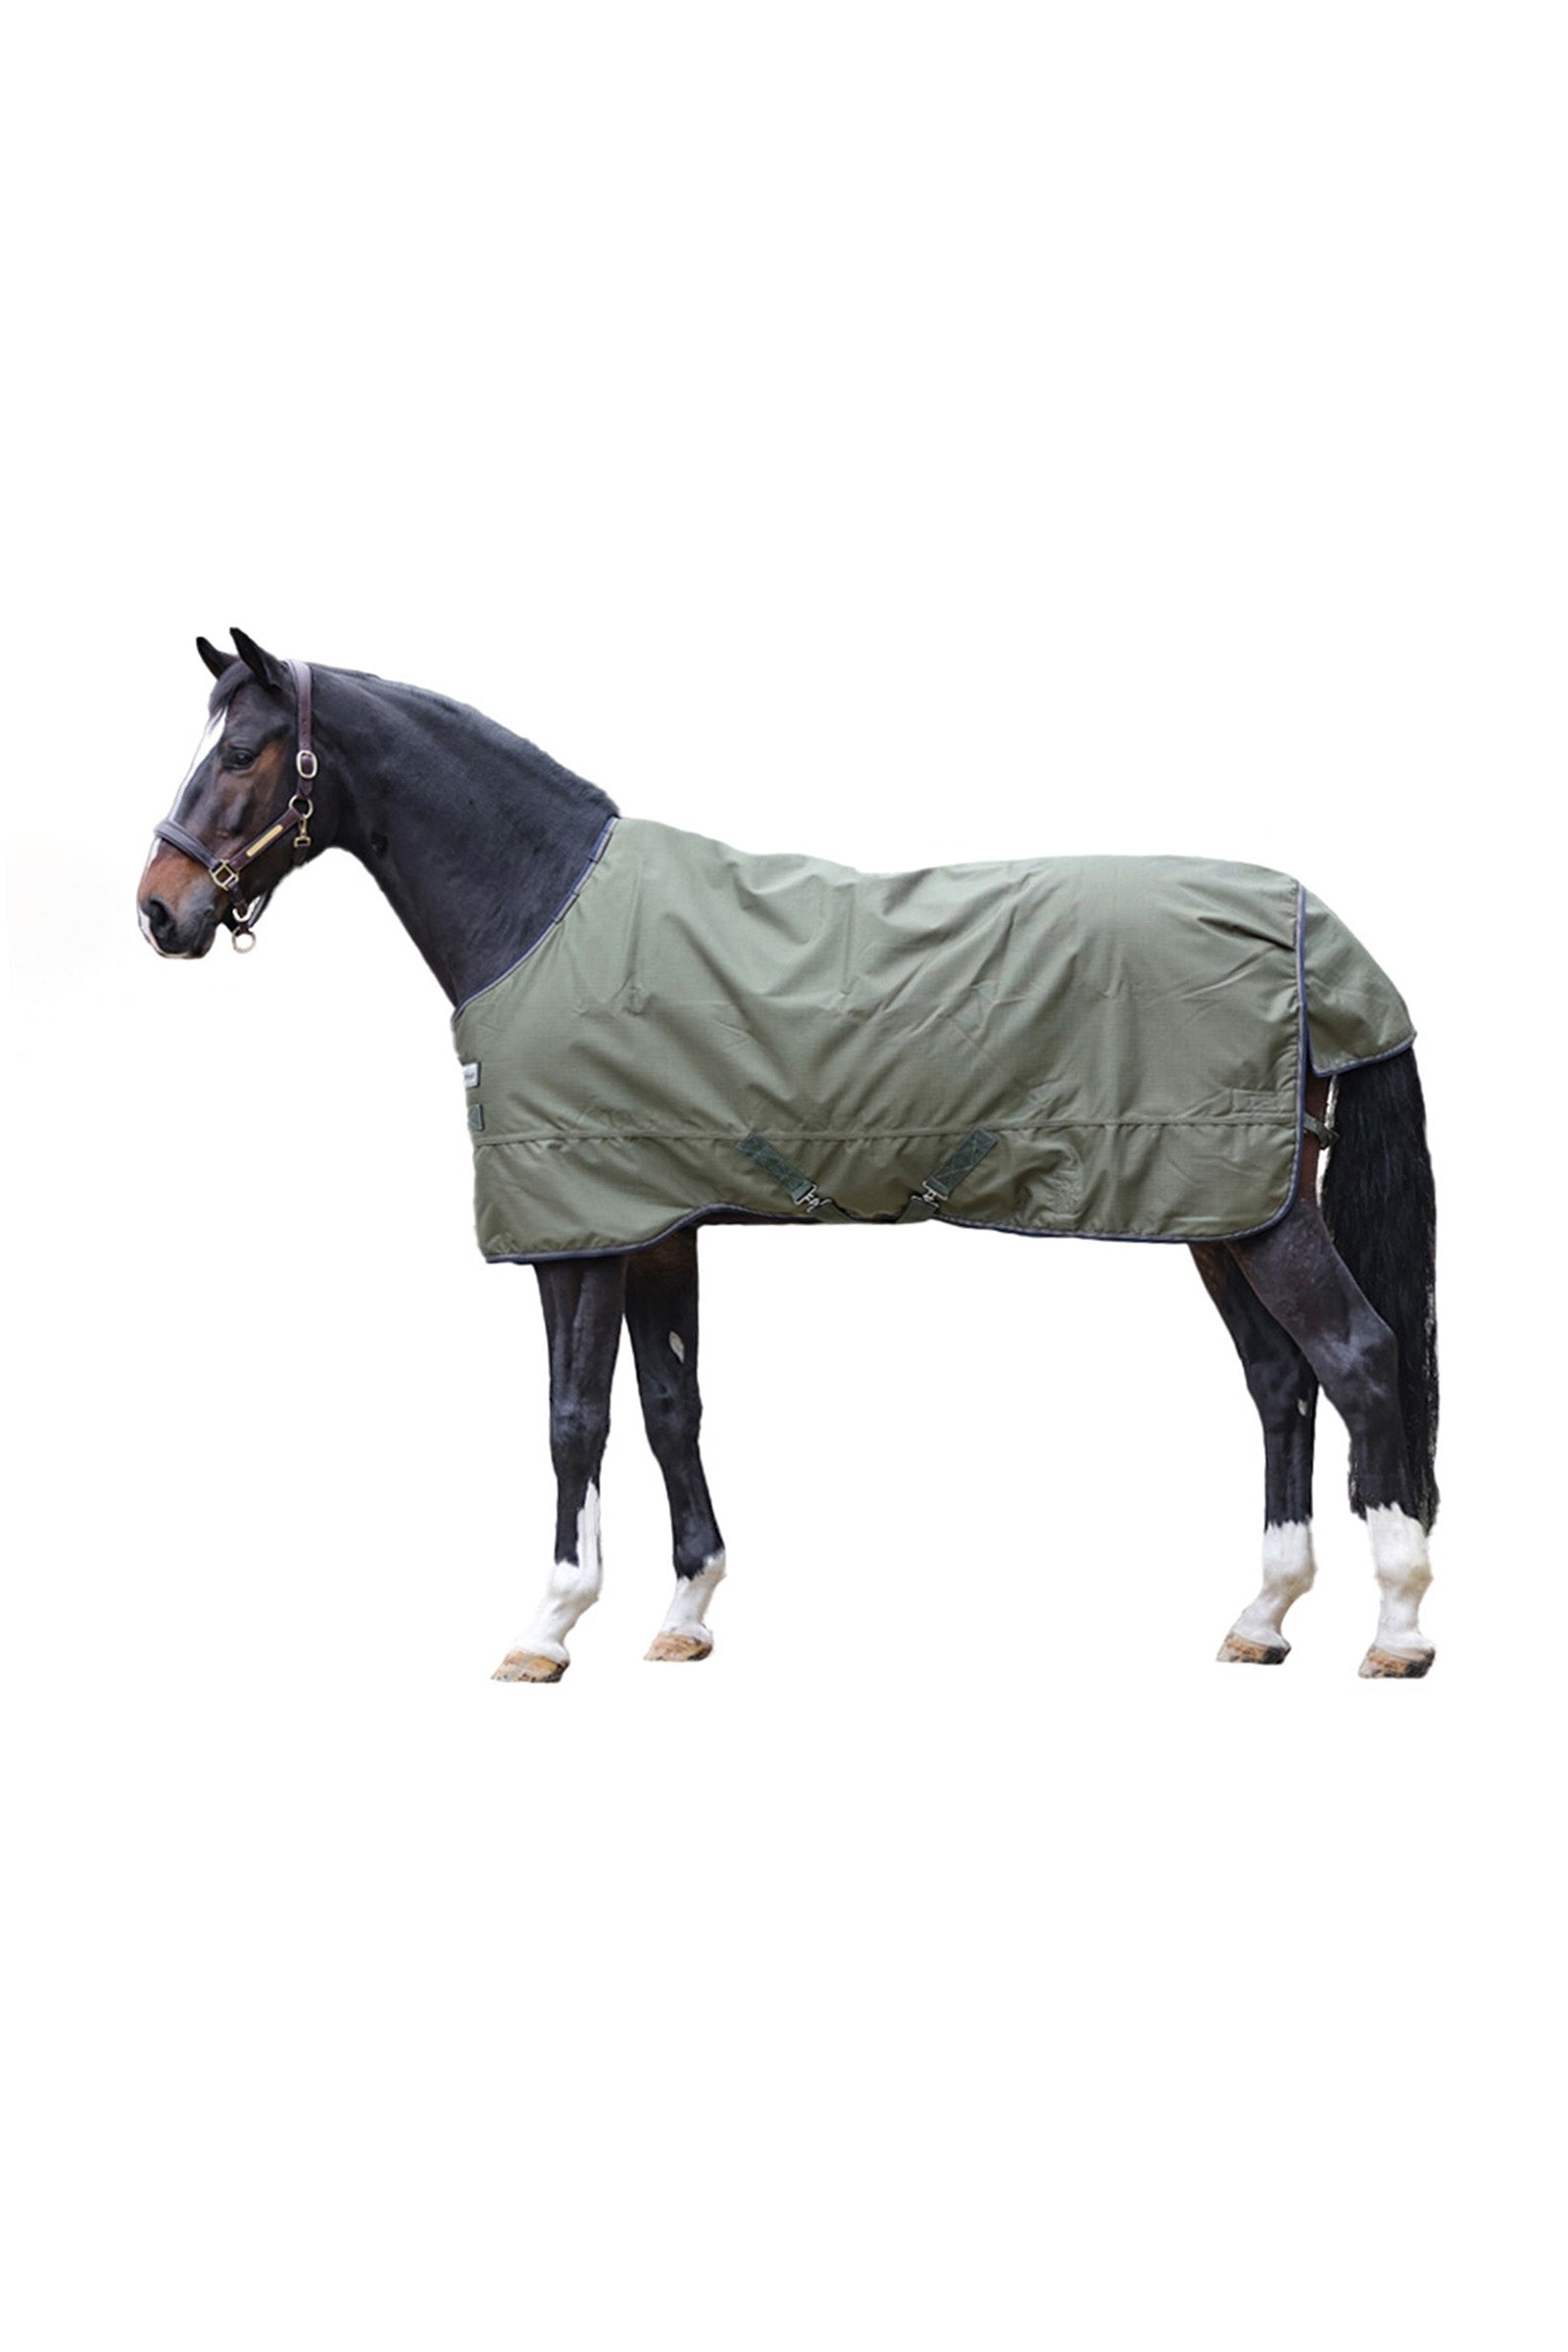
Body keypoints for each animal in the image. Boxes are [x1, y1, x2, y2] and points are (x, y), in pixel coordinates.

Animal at [138, 630, 1439, 1681]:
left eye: (244, 751)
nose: (158, 911)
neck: (544, 913)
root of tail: (1316, 927)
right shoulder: (654, 1222)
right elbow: (671, 1408)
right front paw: (685, 1614)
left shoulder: (577, 1231)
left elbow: (573, 1419)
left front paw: (548, 1627)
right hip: (1223, 1203)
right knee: (1279, 1384)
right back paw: (1261, 1617)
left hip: (1259, 1212)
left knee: (1361, 1360)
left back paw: (1397, 1628)